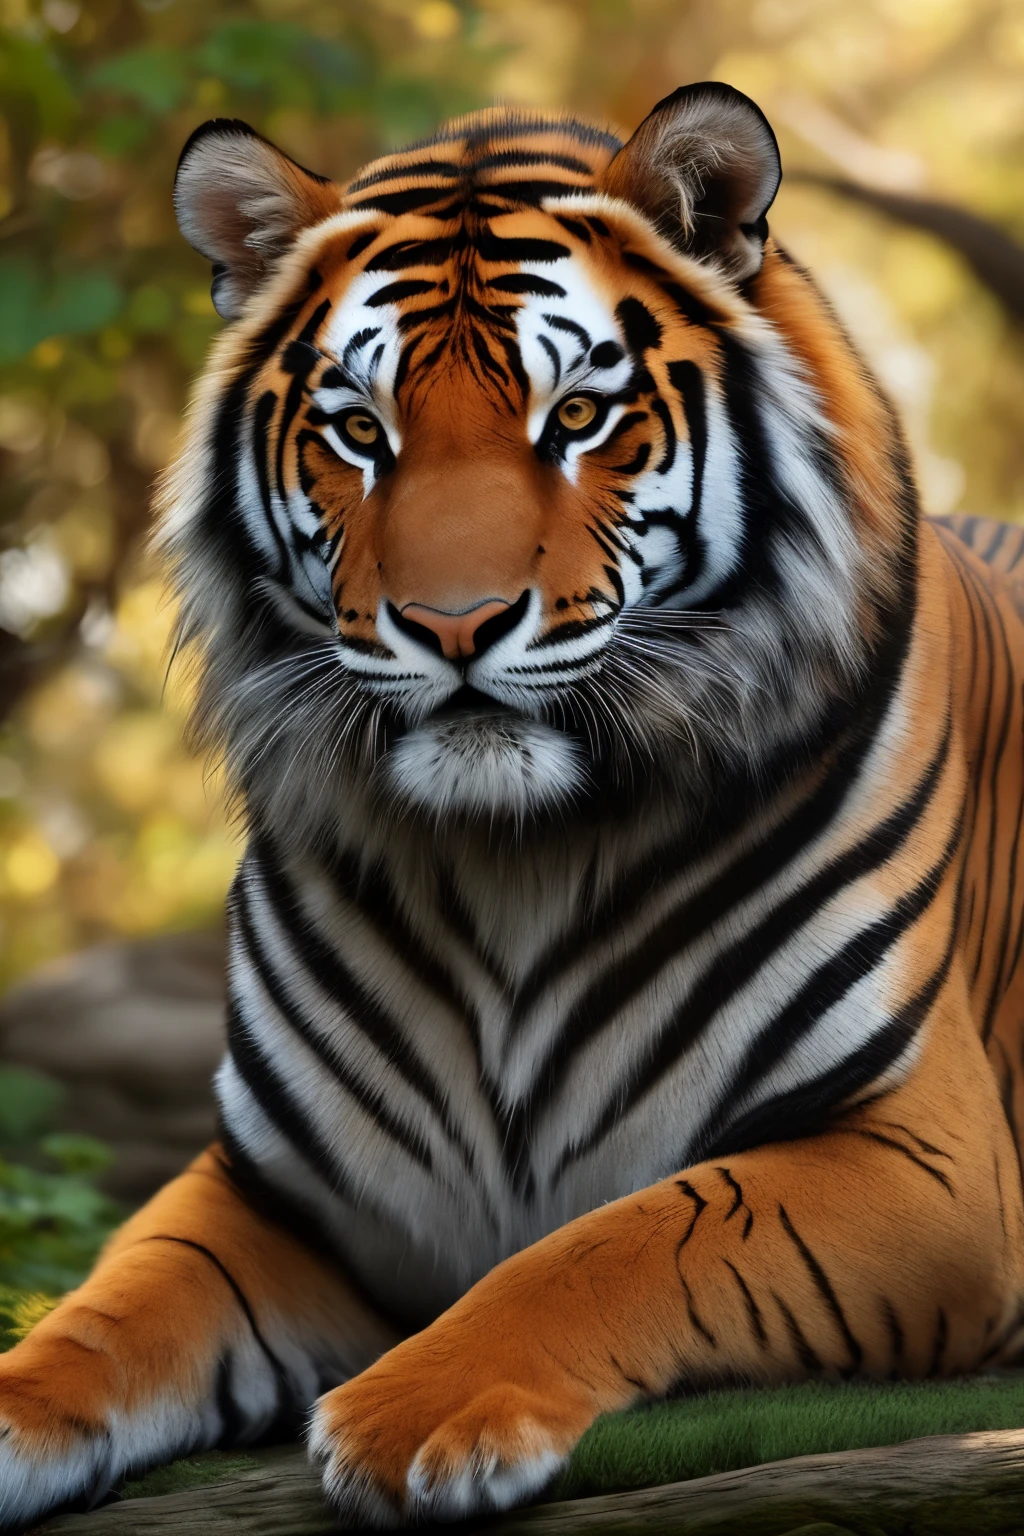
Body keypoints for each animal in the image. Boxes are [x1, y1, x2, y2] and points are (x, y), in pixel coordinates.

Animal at [2, 87, 1024, 1536]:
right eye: (359, 430)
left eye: (579, 416)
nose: (452, 626)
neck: (509, 862)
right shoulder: (275, 1192)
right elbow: (116, 1295)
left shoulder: (916, 1153)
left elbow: (623, 1239)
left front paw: (417, 1410)